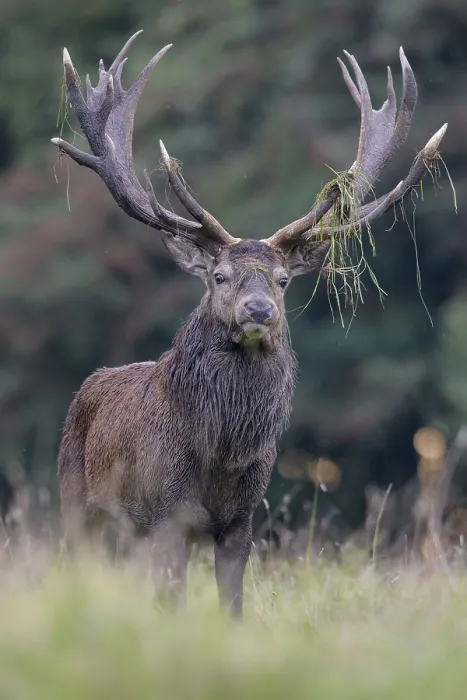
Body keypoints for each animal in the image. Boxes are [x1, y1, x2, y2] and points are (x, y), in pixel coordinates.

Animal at [52, 30, 446, 618]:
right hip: (77, 506)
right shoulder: (165, 513)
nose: (258, 311)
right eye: (218, 276)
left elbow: (232, 606)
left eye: (282, 280)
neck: (221, 453)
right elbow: (172, 601)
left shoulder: (242, 519)